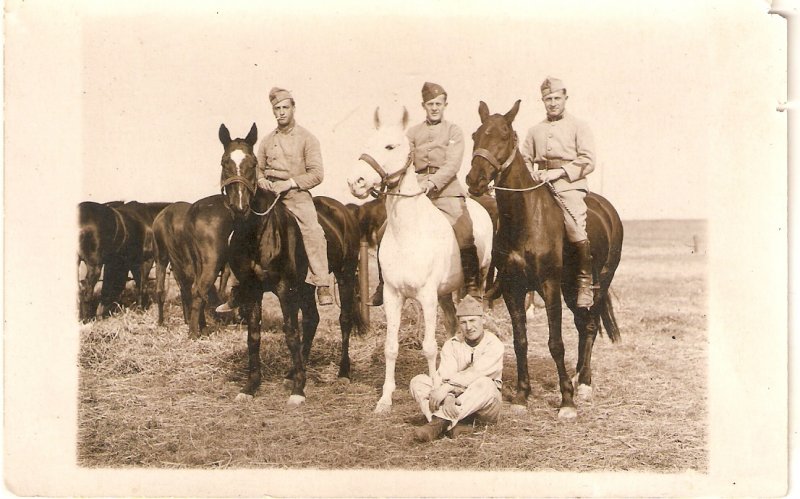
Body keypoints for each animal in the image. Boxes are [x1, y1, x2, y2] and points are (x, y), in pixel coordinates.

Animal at [348, 106, 494, 414]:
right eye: (366, 143)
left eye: (390, 146)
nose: (356, 182)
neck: (409, 232)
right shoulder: (393, 295)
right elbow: (391, 347)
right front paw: (385, 399)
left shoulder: (426, 297)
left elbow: (428, 346)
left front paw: (436, 392)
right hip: (445, 294)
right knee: (451, 326)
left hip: (475, 279)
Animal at [466, 100, 620, 418]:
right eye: (476, 134)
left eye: (504, 135)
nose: (474, 180)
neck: (525, 218)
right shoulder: (513, 289)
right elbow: (520, 341)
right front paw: (522, 396)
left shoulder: (549, 288)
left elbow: (555, 343)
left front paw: (567, 401)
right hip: (571, 290)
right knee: (583, 326)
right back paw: (577, 375)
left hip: (598, 284)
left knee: (589, 327)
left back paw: (583, 384)